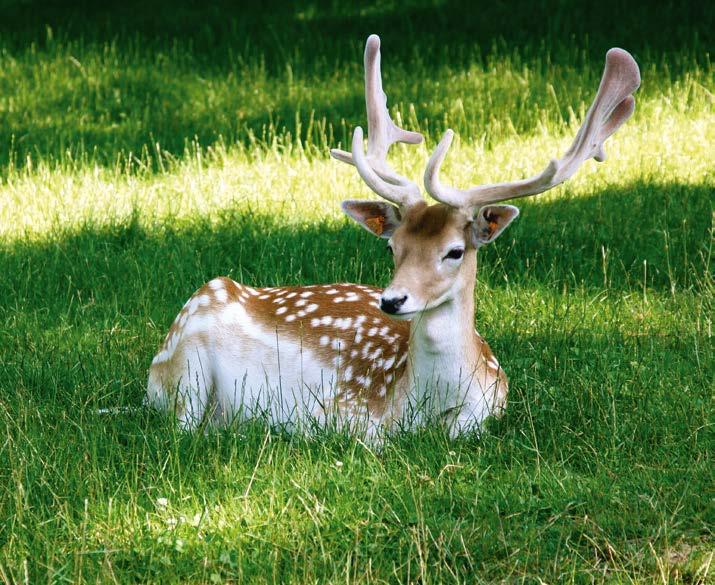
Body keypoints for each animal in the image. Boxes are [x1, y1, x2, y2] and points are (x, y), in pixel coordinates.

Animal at [145, 34, 644, 438]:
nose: (392, 300)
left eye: (454, 251)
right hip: (184, 366)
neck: (422, 405)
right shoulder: (347, 411)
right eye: (392, 247)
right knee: (184, 426)